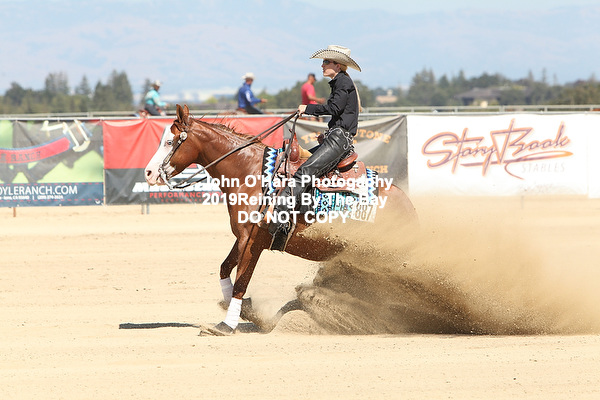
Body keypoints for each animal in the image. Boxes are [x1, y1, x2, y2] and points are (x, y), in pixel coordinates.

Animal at [144, 104, 417, 335]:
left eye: (169, 141)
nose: (148, 173)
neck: (251, 173)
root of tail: (409, 207)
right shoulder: (242, 237)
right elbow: (225, 269)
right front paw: (245, 311)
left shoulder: (253, 242)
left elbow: (241, 282)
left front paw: (226, 325)